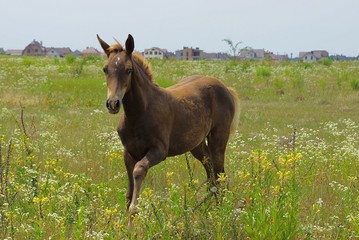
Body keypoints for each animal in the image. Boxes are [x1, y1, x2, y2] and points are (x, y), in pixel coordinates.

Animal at [97, 33, 240, 227]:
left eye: (128, 70)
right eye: (105, 69)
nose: (113, 103)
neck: (140, 113)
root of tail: (226, 88)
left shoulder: (159, 150)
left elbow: (139, 170)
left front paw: (133, 217)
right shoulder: (128, 153)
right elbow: (128, 192)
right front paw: (128, 224)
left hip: (219, 137)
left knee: (219, 174)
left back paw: (219, 214)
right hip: (196, 145)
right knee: (210, 169)